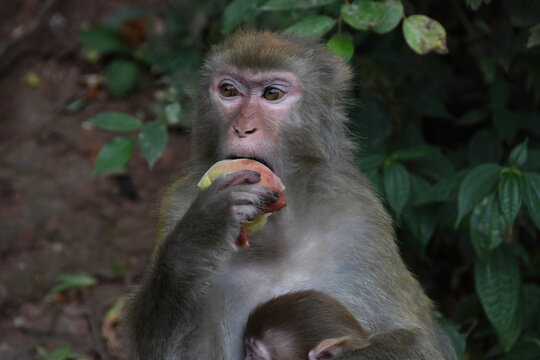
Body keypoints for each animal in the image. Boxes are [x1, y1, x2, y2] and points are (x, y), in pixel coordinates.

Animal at [126, 31, 456, 360]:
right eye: (228, 90)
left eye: (272, 94)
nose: (242, 128)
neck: (277, 235)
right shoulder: (176, 203)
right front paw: (201, 231)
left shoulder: (361, 219)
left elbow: (419, 341)